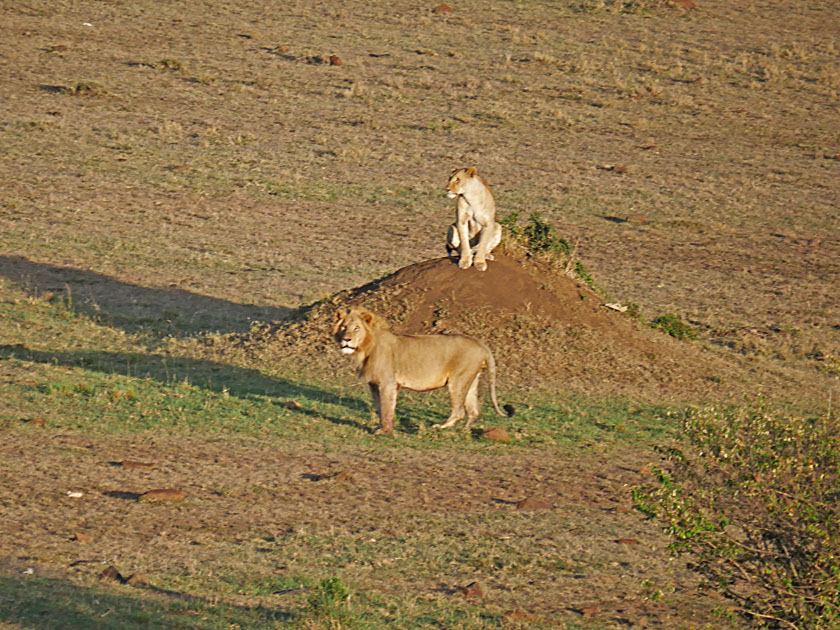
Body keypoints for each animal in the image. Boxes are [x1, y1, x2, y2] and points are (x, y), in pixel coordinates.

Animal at [334, 308, 516, 436]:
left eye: (357, 328)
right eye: (343, 327)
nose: (346, 339)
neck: (365, 348)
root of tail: (481, 343)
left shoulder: (388, 383)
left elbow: (386, 408)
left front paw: (384, 431)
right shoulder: (374, 385)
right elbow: (380, 408)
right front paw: (380, 427)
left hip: (457, 381)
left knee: (459, 412)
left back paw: (439, 427)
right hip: (471, 380)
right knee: (474, 411)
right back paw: (463, 432)